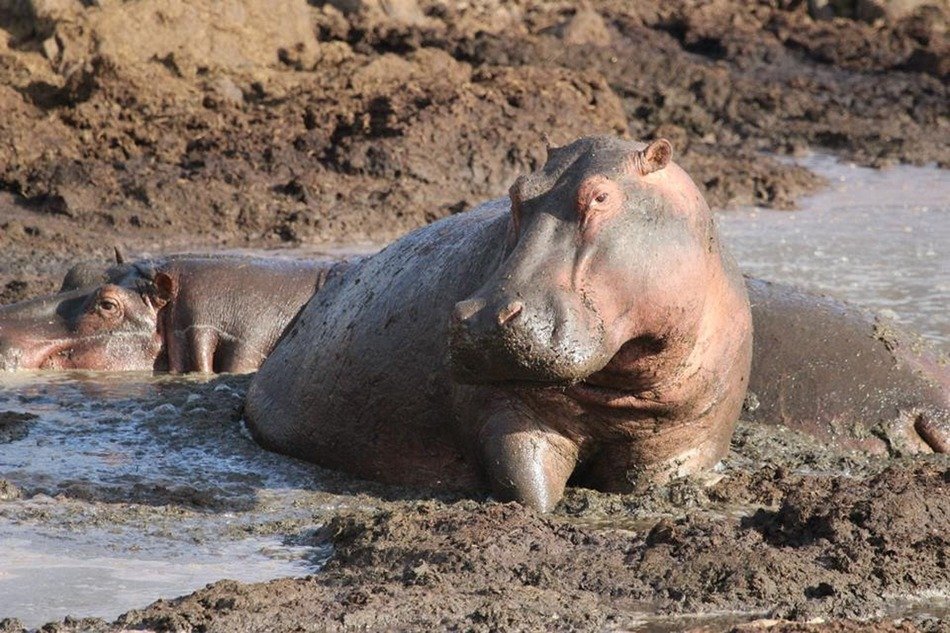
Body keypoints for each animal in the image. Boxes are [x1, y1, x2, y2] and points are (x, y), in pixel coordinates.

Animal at [246, 136, 755, 512]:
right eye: (516, 192)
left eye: (600, 195)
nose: (486, 317)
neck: (621, 382)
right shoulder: (507, 414)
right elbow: (528, 489)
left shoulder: (685, 441)